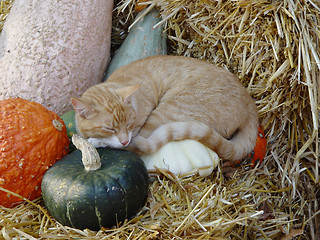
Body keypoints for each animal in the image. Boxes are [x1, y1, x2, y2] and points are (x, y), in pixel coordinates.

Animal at [71, 55, 258, 162]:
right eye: (109, 128)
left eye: (129, 124)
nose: (124, 139)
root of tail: (250, 107)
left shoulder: (138, 129)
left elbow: (121, 144)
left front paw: (94, 141)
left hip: (166, 112)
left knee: (138, 148)